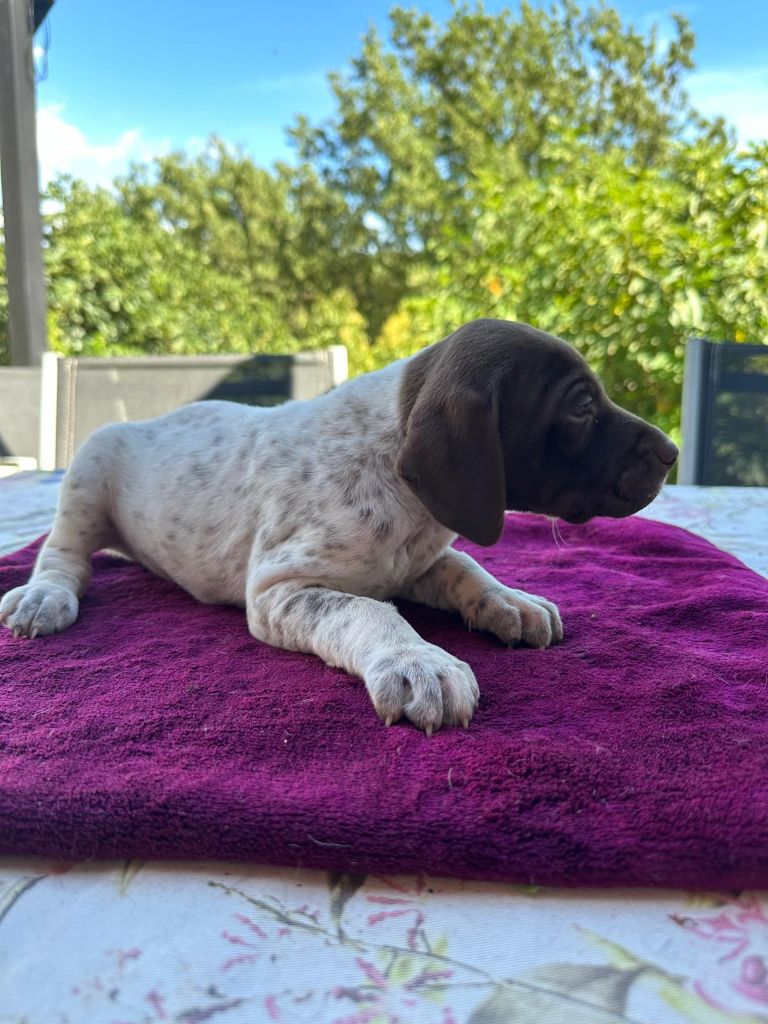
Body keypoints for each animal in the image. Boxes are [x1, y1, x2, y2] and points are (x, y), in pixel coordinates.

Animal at [0, 317, 675, 729]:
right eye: (582, 406)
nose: (671, 452)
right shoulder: (279, 588)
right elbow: (367, 610)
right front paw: (419, 662)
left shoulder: (418, 558)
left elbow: (466, 567)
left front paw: (511, 601)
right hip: (90, 469)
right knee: (62, 553)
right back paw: (42, 596)